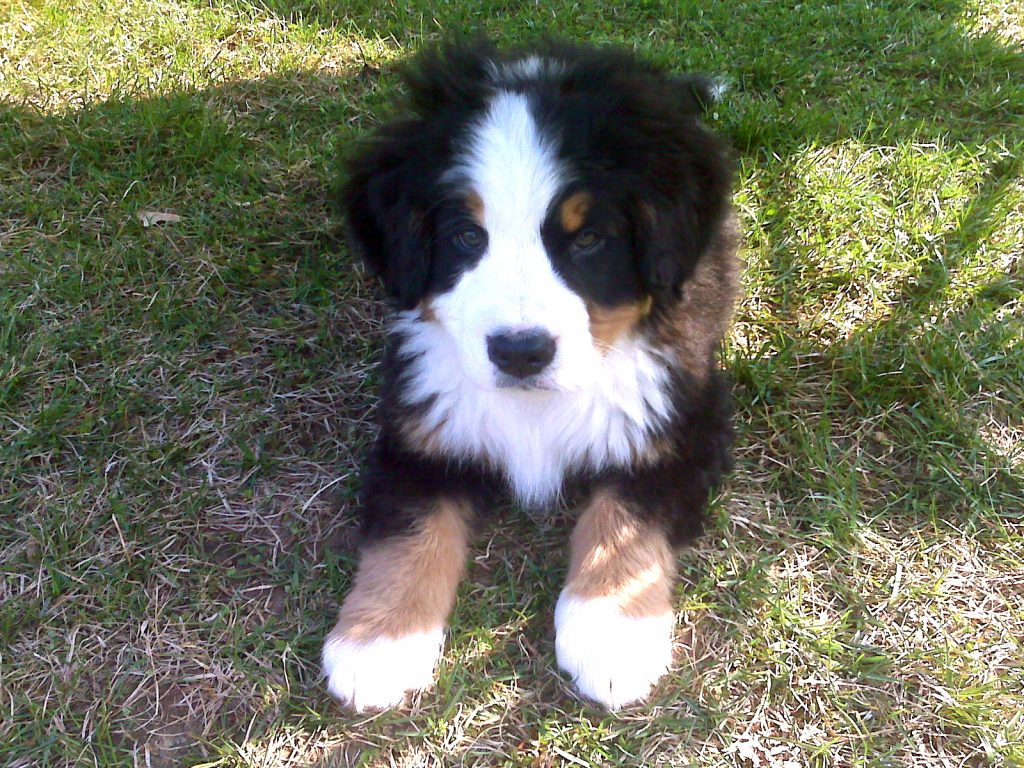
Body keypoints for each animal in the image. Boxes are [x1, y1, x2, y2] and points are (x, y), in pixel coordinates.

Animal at [319, 40, 737, 716]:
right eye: (467, 236)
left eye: (588, 238)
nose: (520, 353)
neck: (535, 406)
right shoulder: (421, 426)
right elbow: (408, 533)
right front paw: (378, 641)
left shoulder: (678, 422)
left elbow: (624, 520)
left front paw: (611, 634)